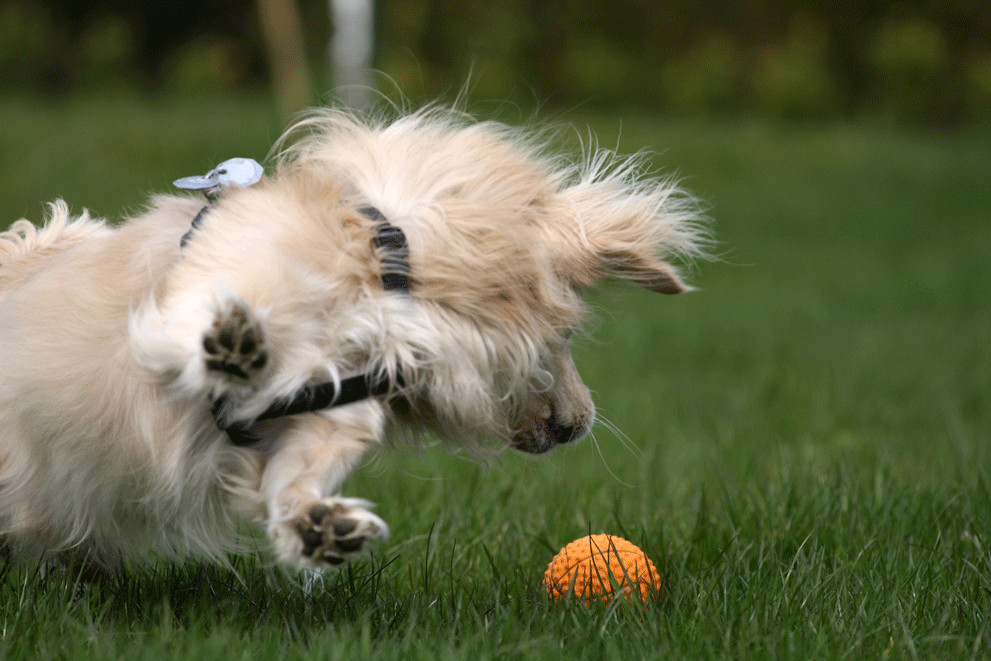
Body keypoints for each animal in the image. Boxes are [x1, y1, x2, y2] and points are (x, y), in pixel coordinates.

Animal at [0, 109, 704, 572]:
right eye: (563, 335)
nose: (580, 424)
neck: (382, 273)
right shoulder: (198, 290)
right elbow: (207, 314)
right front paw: (234, 345)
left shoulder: (326, 421)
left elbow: (296, 478)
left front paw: (316, 528)